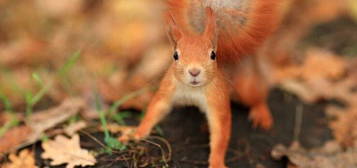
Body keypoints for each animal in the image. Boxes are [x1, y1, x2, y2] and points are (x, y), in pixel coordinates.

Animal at [119, 0, 280, 167]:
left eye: (213, 55)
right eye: (175, 55)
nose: (194, 71)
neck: (193, 90)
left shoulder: (217, 99)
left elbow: (220, 132)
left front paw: (216, 161)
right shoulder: (168, 90)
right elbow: (155, 110)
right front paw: (136, 133)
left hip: (245, 86)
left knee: (257, 97)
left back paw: (262, 114)